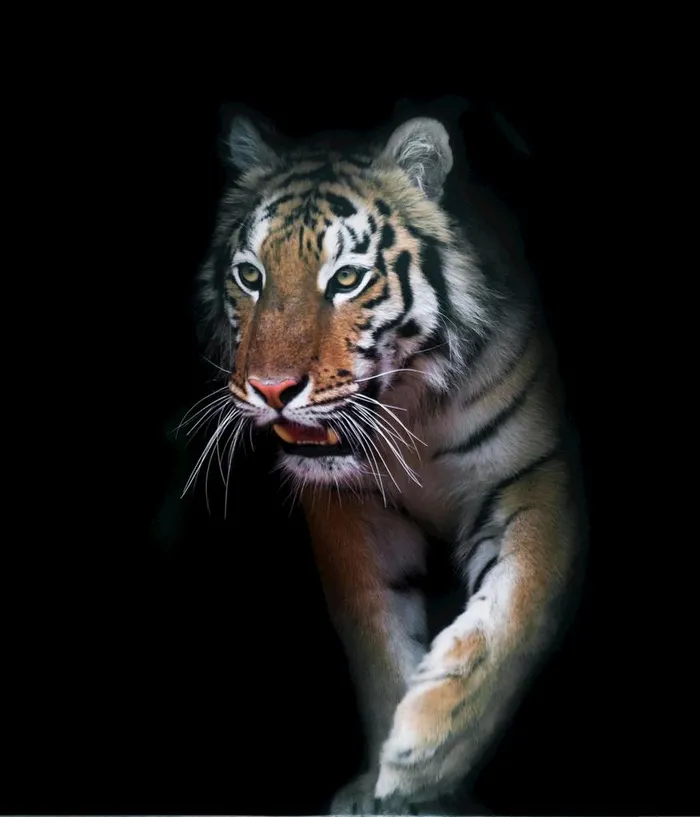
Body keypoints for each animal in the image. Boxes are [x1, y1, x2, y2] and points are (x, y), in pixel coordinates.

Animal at [195, 109, 584, 815]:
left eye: (347, 279)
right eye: (250, 276)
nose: (270, 389)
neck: (412, 410)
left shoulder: (535, 474)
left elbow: (517, 612)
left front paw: (428, 754)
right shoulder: (351, 507)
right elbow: (375, 638)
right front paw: (382, 791)